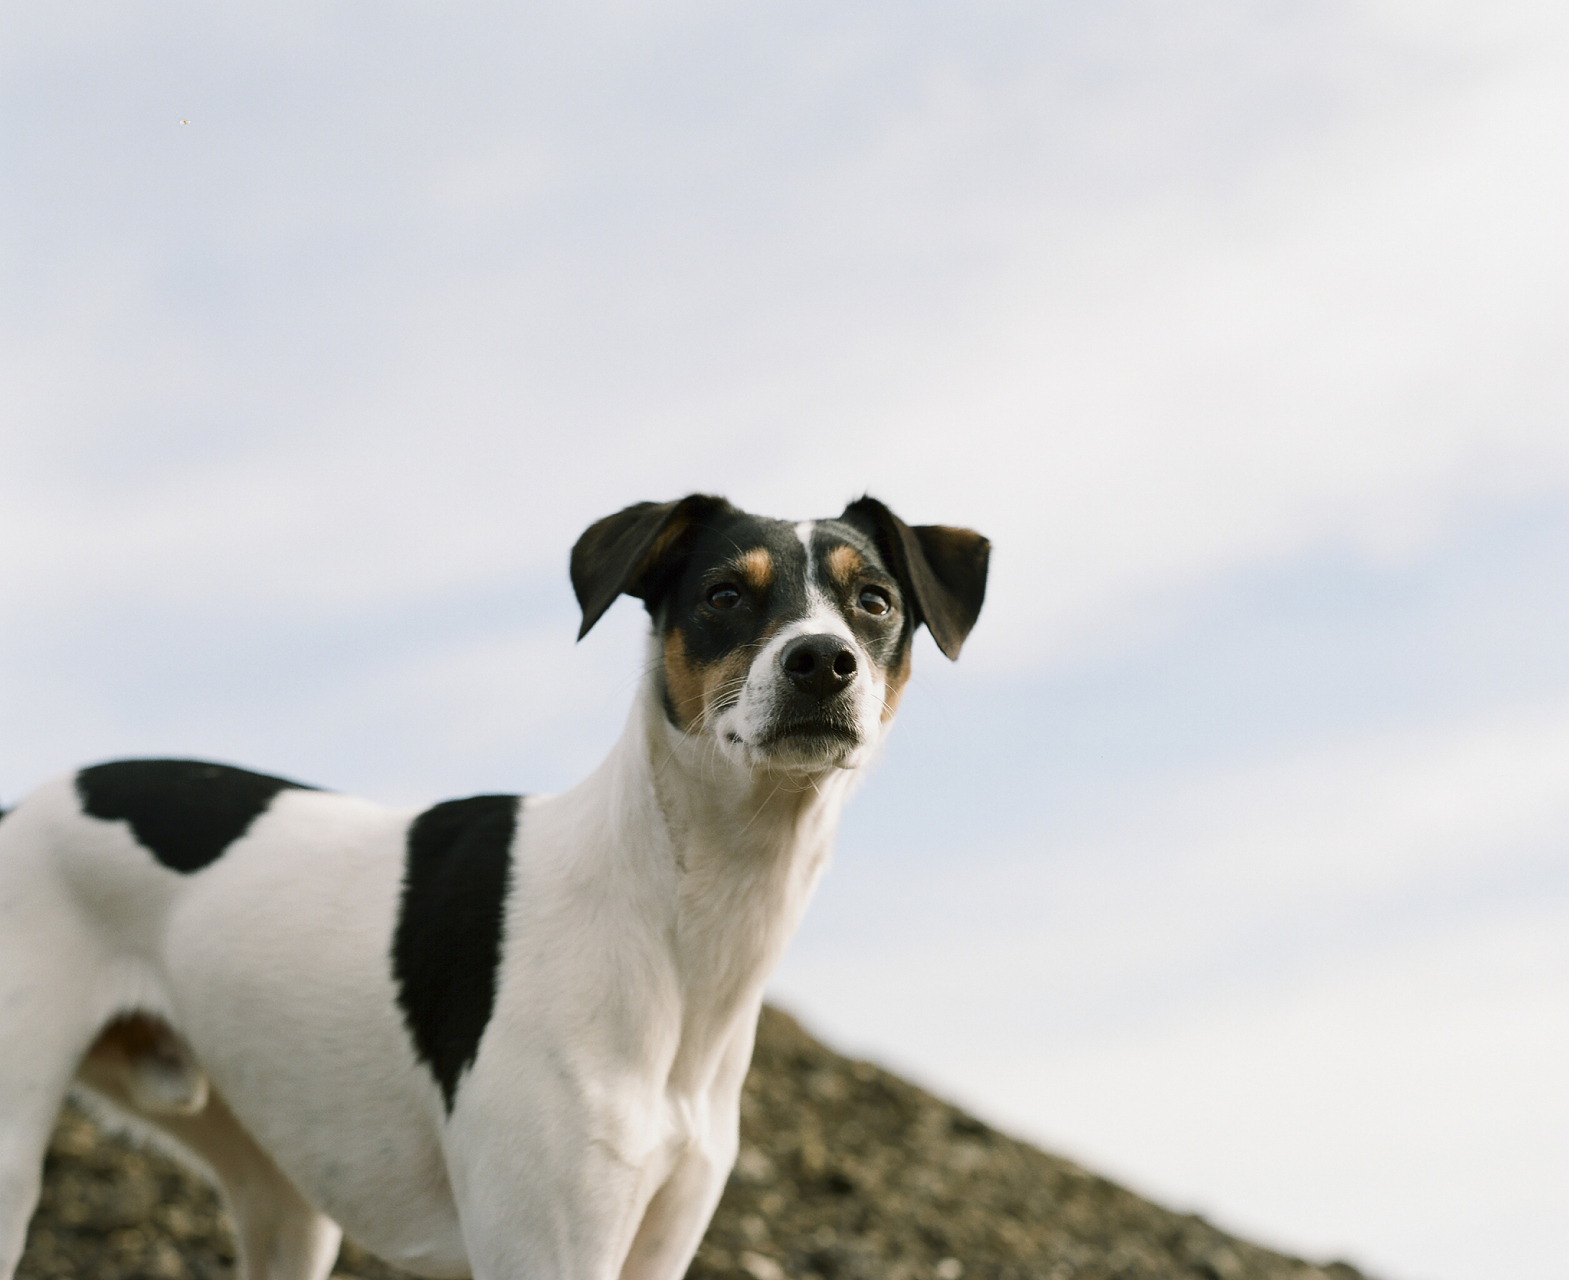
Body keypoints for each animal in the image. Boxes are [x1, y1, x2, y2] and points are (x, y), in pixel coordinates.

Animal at [0, 498, 985, 1280]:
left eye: (874, 602)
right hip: (13, 1162)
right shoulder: (547, 1250)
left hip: (280, 1193)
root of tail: (22, 802)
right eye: (722, 596)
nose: (821, 660)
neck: (674, 927)